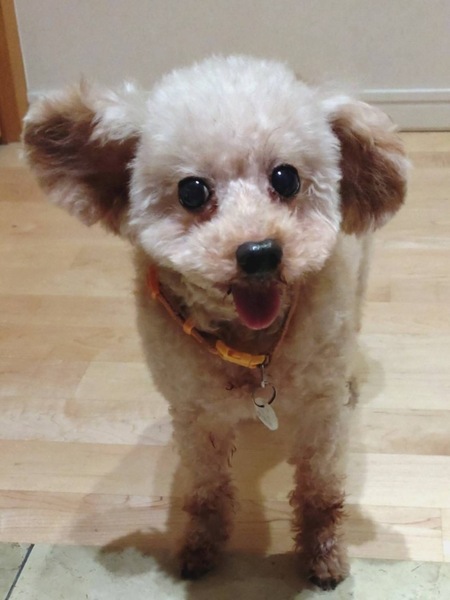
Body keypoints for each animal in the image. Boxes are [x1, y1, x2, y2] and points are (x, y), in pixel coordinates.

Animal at [23, 55, 407, 590]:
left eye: (286, 178)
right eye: (192, 190)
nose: (260, 252)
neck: (250, 345)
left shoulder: (320, 410)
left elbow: (320, 491)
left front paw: (324, 553)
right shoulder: (194, 412)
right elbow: (206, 489)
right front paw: (201, 545)